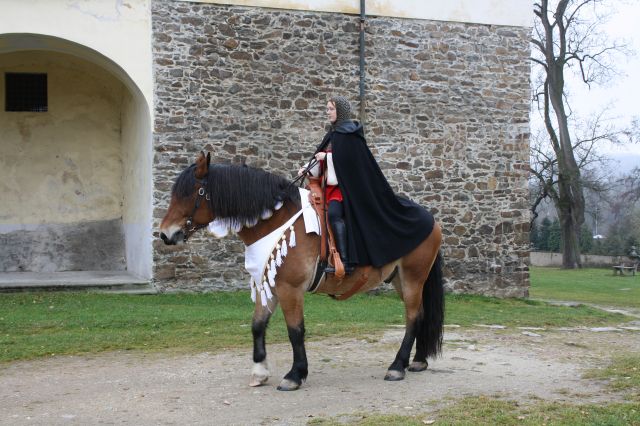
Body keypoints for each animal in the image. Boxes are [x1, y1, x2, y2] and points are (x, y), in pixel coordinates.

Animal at [159, 151, 444, 392]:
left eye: (192, 193)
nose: (165, 234)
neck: (275, 221)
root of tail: (430, 218)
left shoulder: (290, 289)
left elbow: (295, 331)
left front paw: (295, 375)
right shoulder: (269, 285)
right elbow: (257, 325)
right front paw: (260, 371)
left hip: (413, 278)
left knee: (412, 317)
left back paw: (397, 366)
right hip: (400, 280)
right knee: (420, 314)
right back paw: (417, 361)